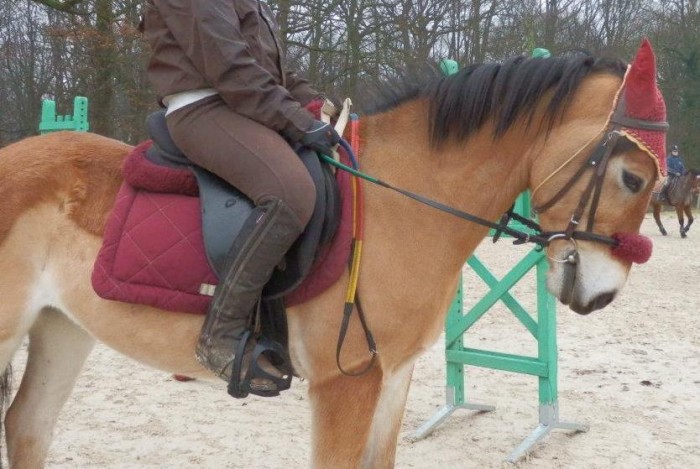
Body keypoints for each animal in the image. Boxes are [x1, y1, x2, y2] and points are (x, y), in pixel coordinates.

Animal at [0, 42, 666, 468]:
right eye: (633, 177)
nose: (603, 293)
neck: (401, 203)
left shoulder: (392, 378)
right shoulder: (345, 385)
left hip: (64, 329)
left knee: (27, 427)